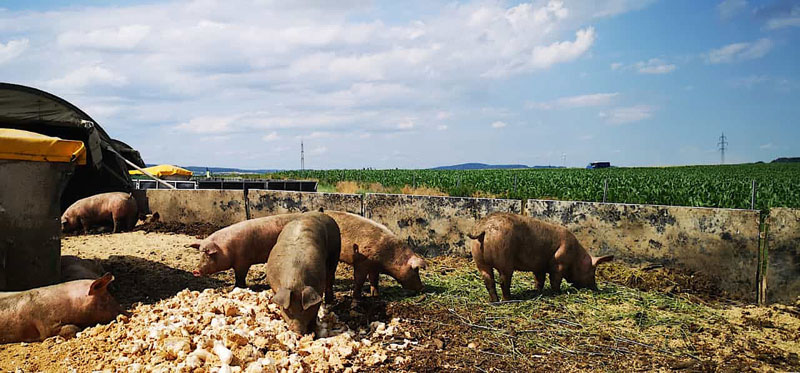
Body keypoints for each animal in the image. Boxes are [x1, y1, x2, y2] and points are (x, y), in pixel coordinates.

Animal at [466, 212, 616, 302]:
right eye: (592, 271)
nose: (596, 288)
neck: (575, 257)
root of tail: (484, 229)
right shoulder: (559, 263)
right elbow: (555, 279)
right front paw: (557, 292)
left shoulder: (539, 266)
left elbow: (540, 280)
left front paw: (537, 291)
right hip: (504, 257)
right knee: (503, 280)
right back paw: (508, 299)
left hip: (479, 260)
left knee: (488, 280)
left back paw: (494, 301)